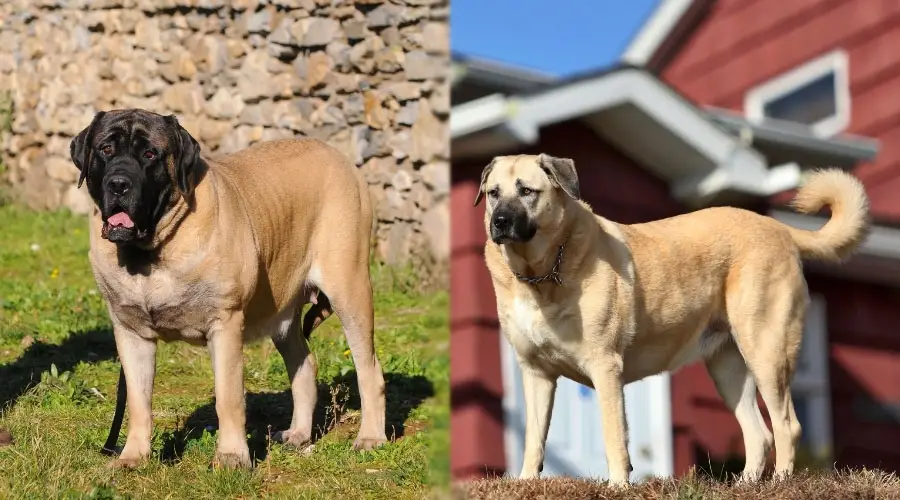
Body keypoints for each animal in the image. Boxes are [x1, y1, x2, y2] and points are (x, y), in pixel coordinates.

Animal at [70, 108, 386, 468]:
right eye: (106, 149)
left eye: (150, 154)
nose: (119, 184)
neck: (149, 254)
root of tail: (343, 159)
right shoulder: (131, 332)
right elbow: (138, 400)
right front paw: (133, 456)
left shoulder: (225, 324)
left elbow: (228, 396)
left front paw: (232, 457)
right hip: (283, 312)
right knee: (304, 363)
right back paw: (298, 434)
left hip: (350, 288)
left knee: (368, 368)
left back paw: (371, 437)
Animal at [478, 153, 872, 484]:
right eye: (493, 193)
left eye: (527, 191)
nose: (499, 222)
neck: (539, 276)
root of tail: (779, 229)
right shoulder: (536, 373)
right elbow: (534, 437)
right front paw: (526, 483)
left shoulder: (605, 367)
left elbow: (613, 435)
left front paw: (618, 486)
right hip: (728, 367)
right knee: (759, 433)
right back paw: (745, 485)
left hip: (767, 351)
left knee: (787, 425)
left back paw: (779, 483)